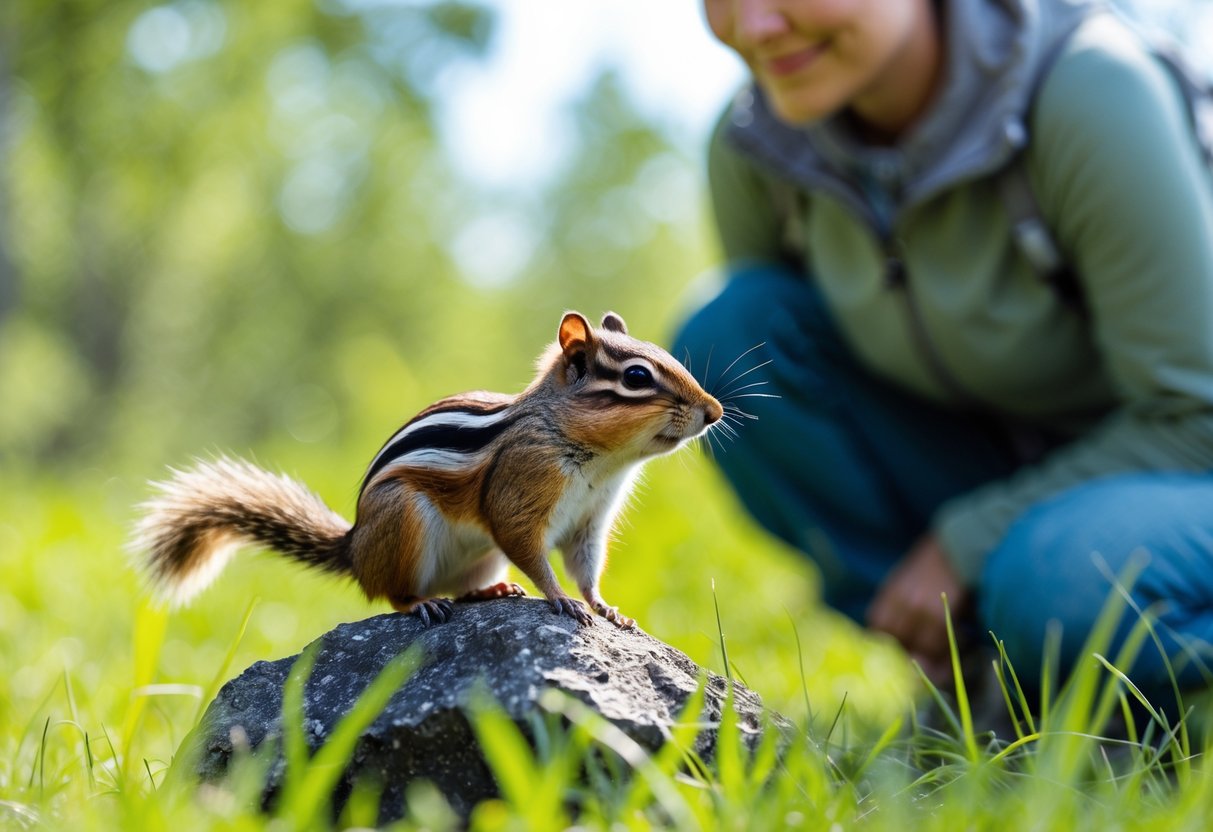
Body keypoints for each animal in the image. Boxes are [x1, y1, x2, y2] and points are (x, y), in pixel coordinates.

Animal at [133, 311, 723, 630]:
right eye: (637, 376)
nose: (714, 412)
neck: (602, 461)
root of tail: (355, 549)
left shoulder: (590, 521)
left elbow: (587, 568)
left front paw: (605, 608)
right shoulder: (521, 490)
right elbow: (528, 546)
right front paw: (559, 600)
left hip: (479, 557)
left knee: (464, 589)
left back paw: (490, 593)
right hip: (404, 521)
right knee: (393, 595)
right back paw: (423, 604)